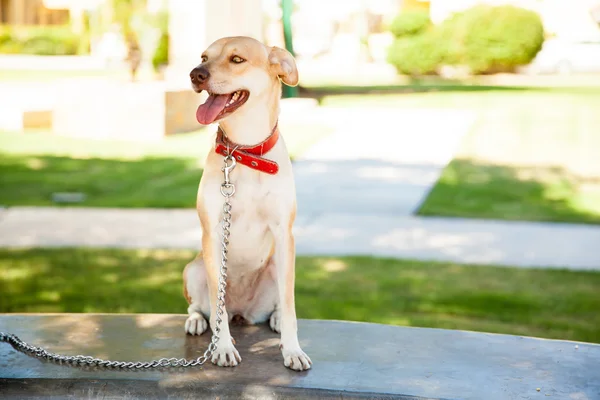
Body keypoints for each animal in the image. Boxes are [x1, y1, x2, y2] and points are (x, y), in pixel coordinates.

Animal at [182, 36, 312, 370]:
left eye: (237, 59)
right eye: (203, 57)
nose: (195, 73)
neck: (245, 151)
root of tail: (242, 313)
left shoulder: (284, 234)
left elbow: (290, 305)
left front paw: (293, 350)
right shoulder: (212, 232)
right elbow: (217, 303)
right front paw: (223, 348)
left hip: (276, 266)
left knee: (278, 303)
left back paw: (275, 318)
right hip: (194, 269)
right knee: (203, 309)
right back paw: (197, 321)